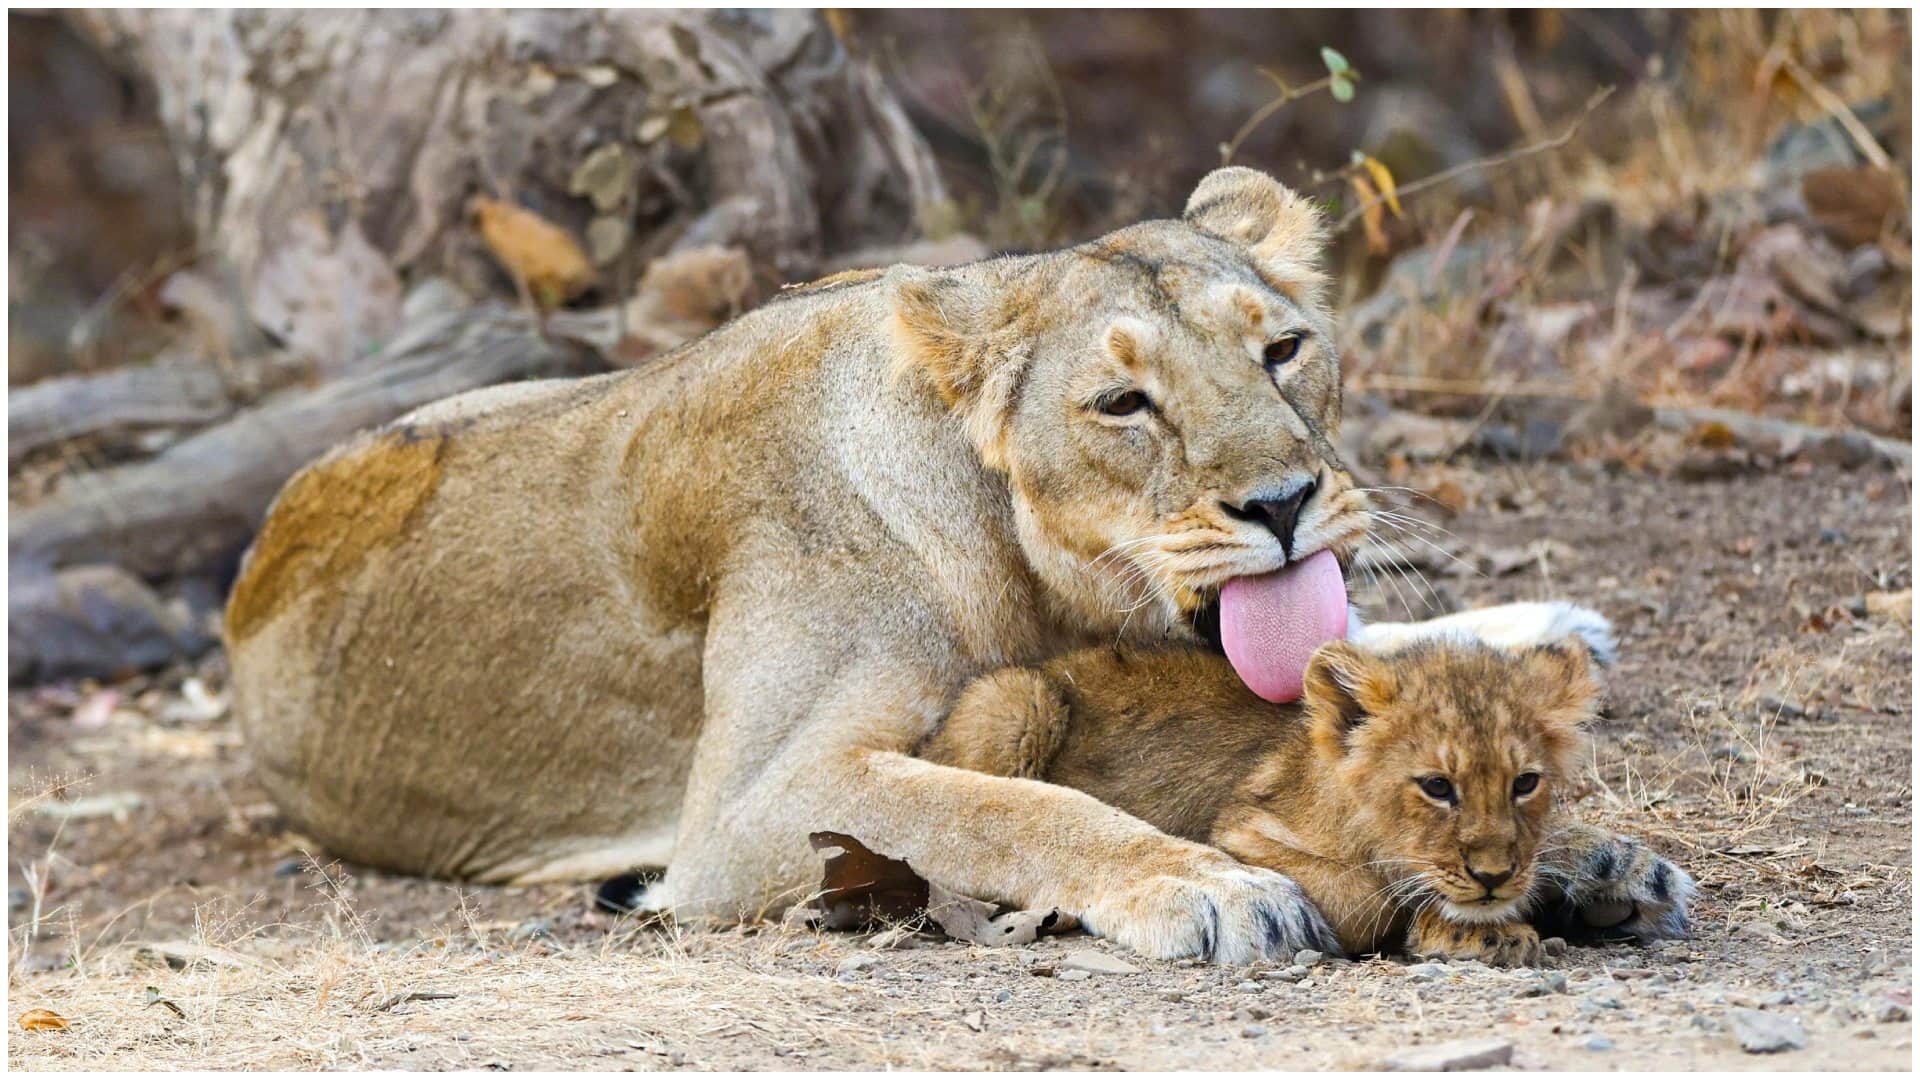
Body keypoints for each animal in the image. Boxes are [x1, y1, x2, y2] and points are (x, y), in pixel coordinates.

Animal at [226, 166, 1595, 962]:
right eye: (1122, 403)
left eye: (1284, 350)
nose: (1285, 502)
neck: (1027, 565)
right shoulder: (740, 817)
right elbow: (996, 806)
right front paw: (1205, 885)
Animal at [923, 638, 1694, 964]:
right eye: (1437, 787)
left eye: (1524, 783)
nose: (1493, 875)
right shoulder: (1239, 832)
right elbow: (1362, 897)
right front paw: (1466, 930)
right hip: (1013, 702)